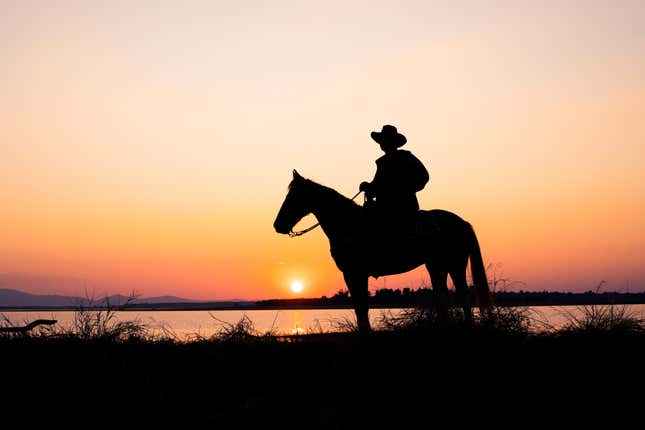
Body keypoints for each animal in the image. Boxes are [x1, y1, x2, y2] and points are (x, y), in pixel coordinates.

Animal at [270, 171, 488, 332]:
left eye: (292, 197)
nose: (277, 225)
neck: (348, 223)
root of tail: (462, 222)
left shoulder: (354, 273)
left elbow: (361, 304)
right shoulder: (355, 274)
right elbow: (360, 305)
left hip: (455, 265)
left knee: (463, 295)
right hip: (437, 267)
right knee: (444, 295)